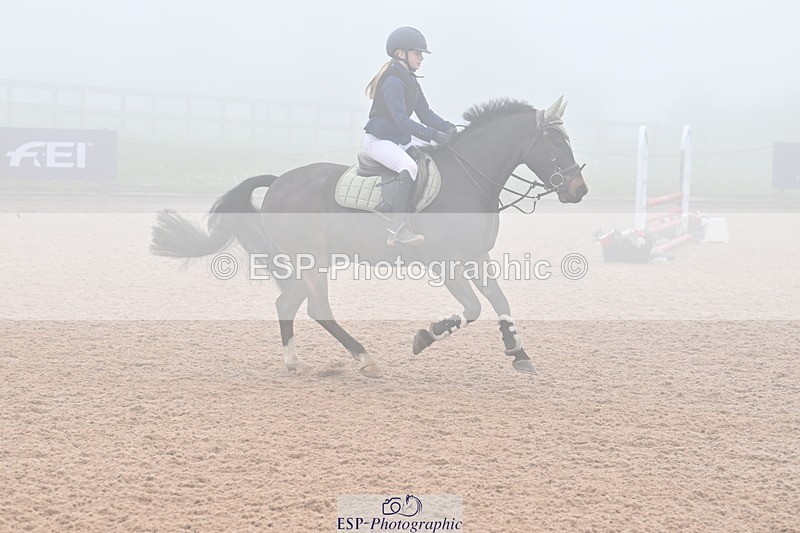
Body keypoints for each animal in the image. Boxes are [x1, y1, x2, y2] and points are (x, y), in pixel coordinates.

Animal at [151, 96, 588, 378]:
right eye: (556, 141)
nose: (578, 190)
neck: (468, 179)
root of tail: (278, 182)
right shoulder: (446, 264)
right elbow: (474, 308)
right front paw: (426, 336)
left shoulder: (478, 257)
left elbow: (500, 301)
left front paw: (518, 353)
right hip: (314, 259)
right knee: (317, 308)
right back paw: (365, 359)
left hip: (310, 261)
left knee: (287, 303)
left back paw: (295, 362)